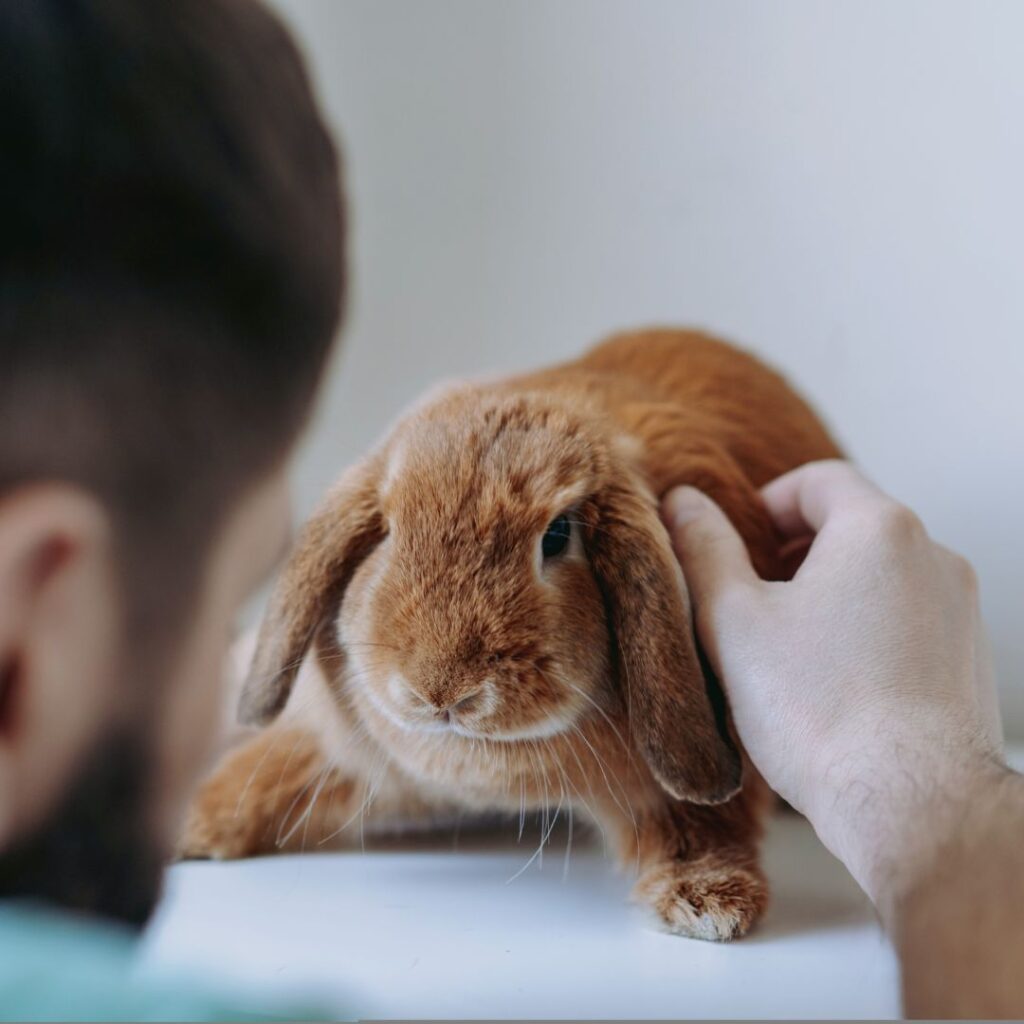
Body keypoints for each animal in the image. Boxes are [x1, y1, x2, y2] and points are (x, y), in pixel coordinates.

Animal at [182, 329, 839, 942]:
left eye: (558, 535)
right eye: (387, 532)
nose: (441, 692)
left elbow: (703, 824)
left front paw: (707, 903)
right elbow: (267, 772)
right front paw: (193, 827)